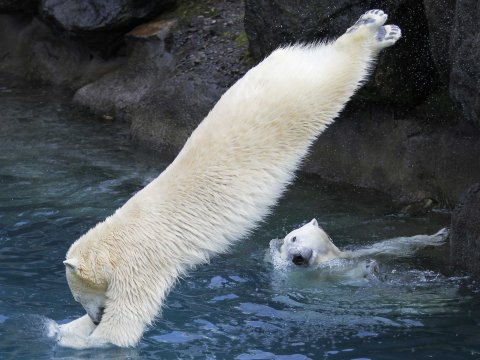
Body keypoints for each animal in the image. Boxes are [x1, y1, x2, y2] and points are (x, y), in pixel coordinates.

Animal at [56, 9, 402, 348]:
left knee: (335, 76)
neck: (120, 235)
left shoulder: (141, 263)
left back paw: (375, 30)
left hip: (297, 100)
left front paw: (78, 337)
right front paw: (65, 328)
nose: (95, 315)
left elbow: (125, 322)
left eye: (78, 295)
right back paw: (373, 23)